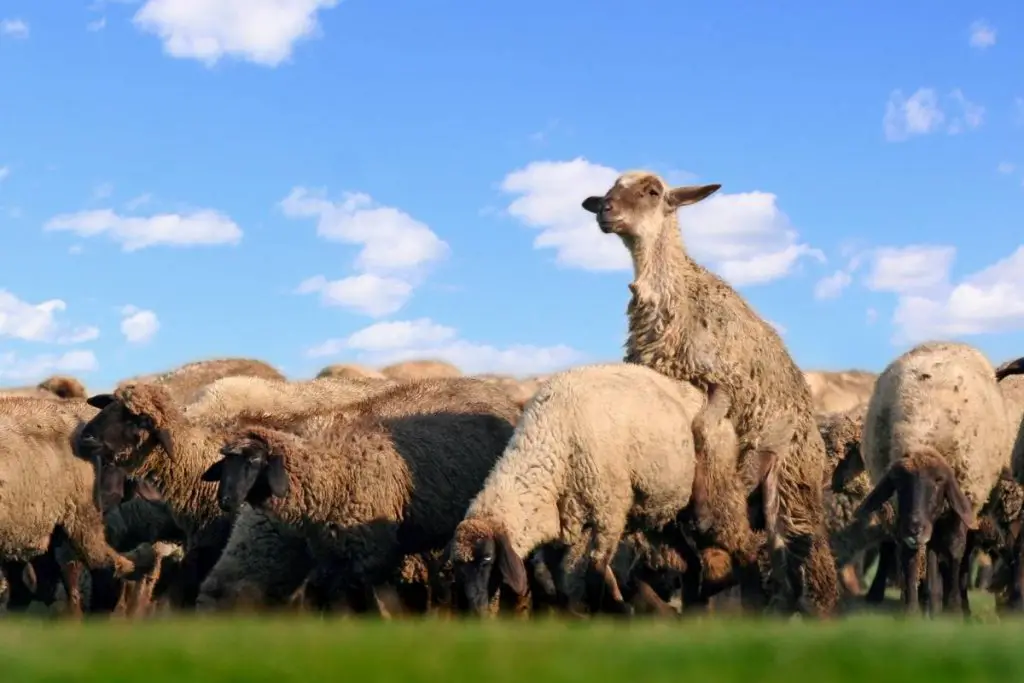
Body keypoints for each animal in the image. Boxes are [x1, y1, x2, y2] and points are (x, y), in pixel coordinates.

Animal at [585, 172, 839, 618]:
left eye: (653, 192)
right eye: (609, 190)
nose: (606, 211)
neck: (678, 293)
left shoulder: (727, 384)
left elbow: (703, 427)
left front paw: (704, 514)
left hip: (791, 481)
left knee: (804, 559)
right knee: (767, 567)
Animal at [856, 342, 1007, 614]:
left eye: (939, 481)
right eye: (899, 483)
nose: (916, 528)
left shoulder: (962, 499)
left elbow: (956, 549)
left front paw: (954, 608)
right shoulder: (903, 510)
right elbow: (910, 553)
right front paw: (912, 611)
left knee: (956, 553)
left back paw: (954, 604)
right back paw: (930, 601)